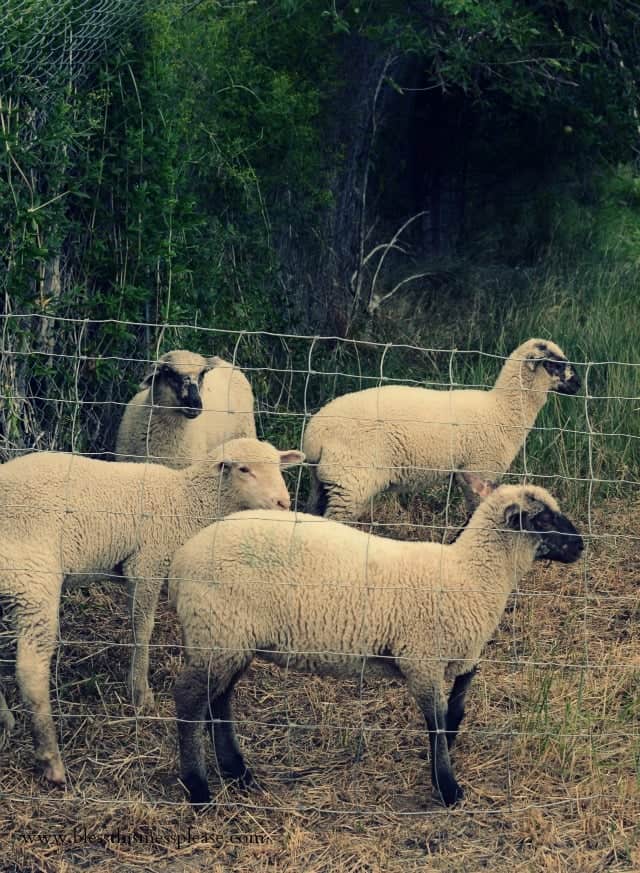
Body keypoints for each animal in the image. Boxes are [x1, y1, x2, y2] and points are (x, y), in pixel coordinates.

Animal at [0, 436, 302, 784]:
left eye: (278, 467)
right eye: (243, 469)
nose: (283, 503)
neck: (188, 501)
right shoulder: (147, 565)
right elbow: (142, 629)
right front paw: (140, 694)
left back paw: (5, 722)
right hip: (33, 579)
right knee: (30, 670)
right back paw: (51, 761)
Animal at [170, 474, 584, 808]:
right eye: (543, 519)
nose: (580, 545)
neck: (470, 573)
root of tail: (182, 559)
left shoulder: (459, 656)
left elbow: (456, 708)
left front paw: (447, 752)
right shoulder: (421, 658)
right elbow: (435, 721)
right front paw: (448, 787)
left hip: (231, 638)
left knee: (219, 699)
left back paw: (238, 772)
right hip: (218, 629)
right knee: (190, 700)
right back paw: (199, 789)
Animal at [304, 338, 580, 516]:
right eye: (555, 364)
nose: (578, 385)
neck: (502, 409)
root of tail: (313, 435)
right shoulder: (478, 471)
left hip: (325, 482)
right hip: (350, 483)